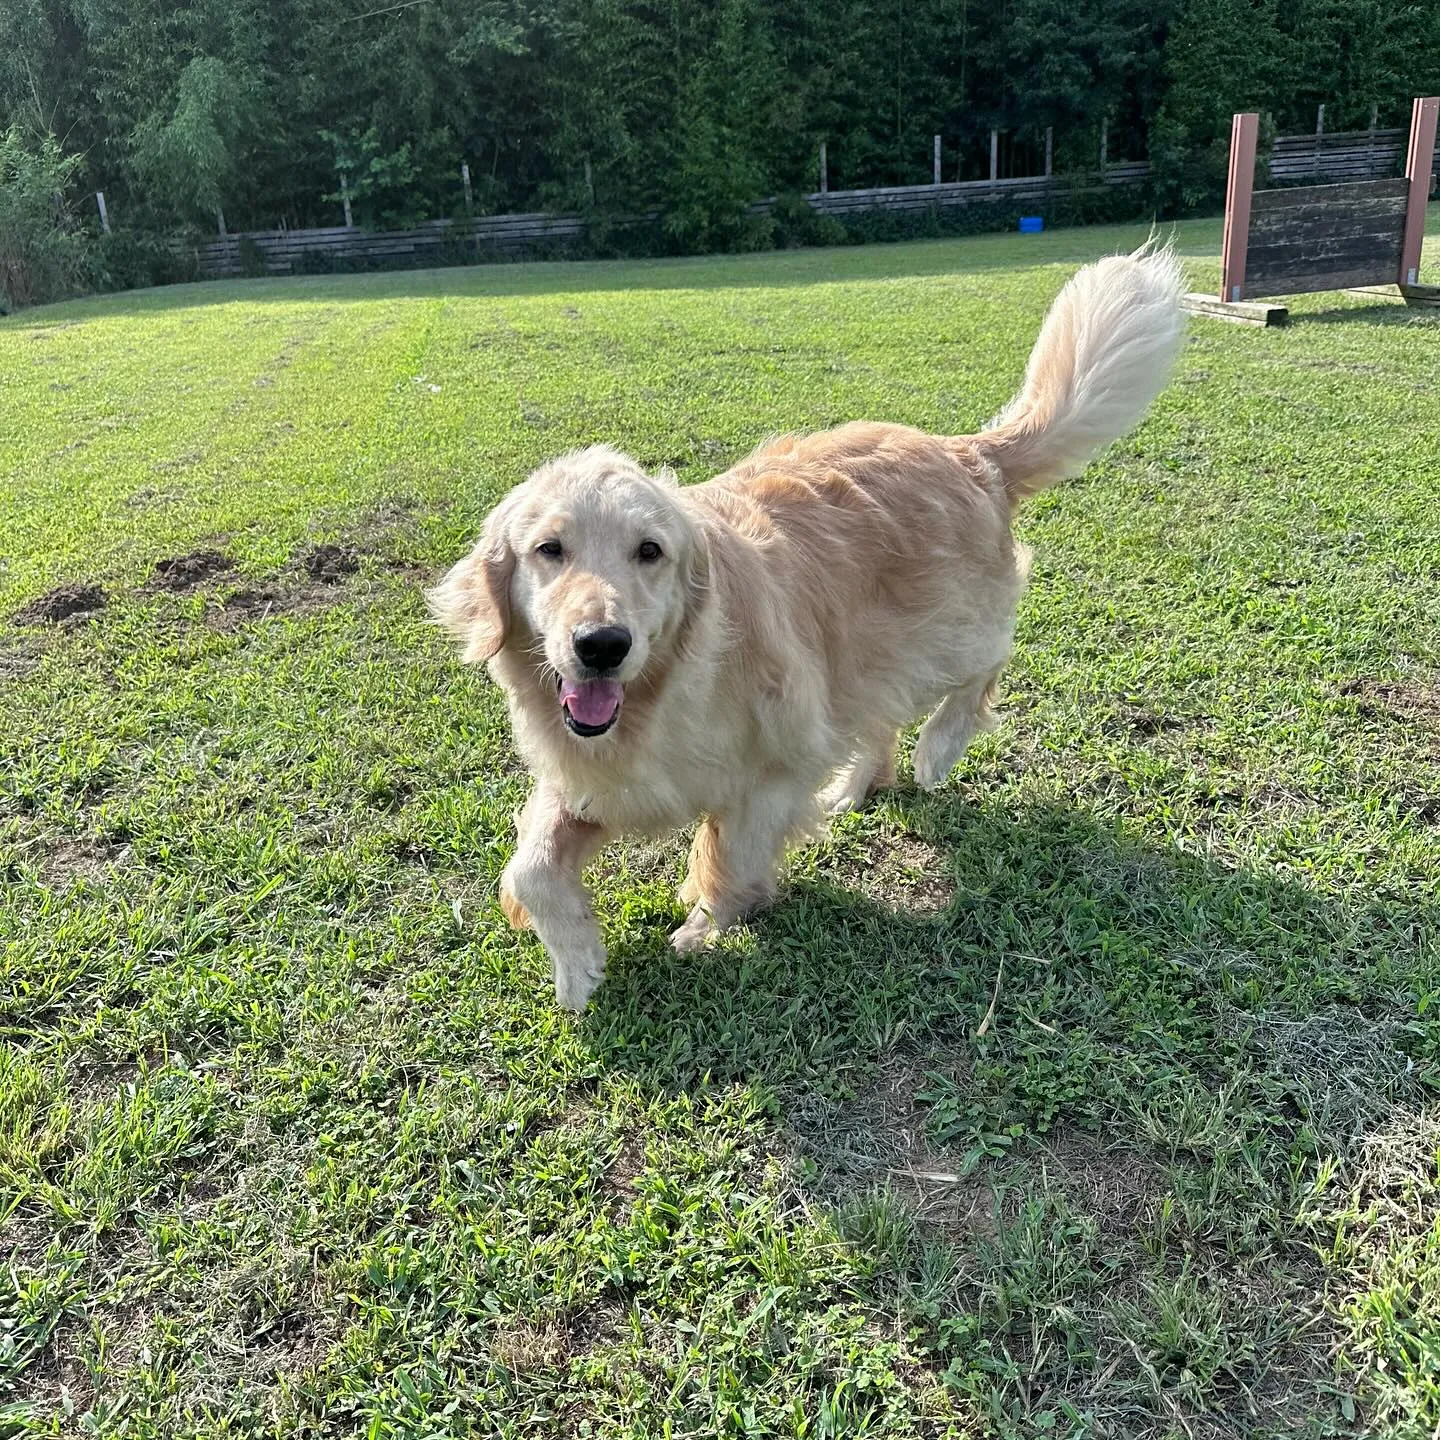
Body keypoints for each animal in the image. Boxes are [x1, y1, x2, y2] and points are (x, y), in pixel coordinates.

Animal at [432, 241, 1186, 1008]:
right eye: (549, 549)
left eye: (650, 551)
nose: (602, 646)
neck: (664, 693)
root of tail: (966, 450)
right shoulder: (599, 775)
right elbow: (531, 865)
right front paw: (577, 960)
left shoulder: (777, 761)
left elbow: (729, 850)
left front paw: (705, 924)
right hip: (860, 658)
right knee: (876, 723)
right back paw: (855, 786)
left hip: (943, 633)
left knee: (982, 669)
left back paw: (938, 749)